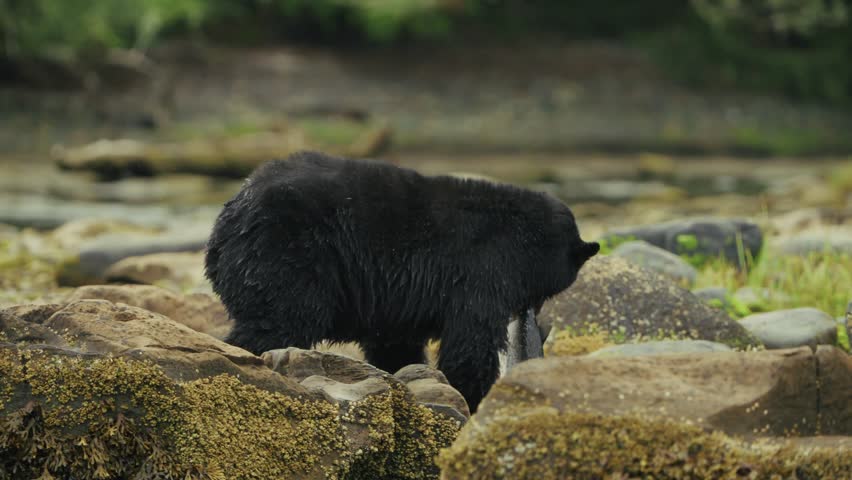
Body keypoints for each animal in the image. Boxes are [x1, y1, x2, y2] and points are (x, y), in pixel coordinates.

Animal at [205, 151, 599, 411]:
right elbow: (470, 343)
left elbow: (395, 343)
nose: (535, 320)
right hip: (289, 253)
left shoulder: (397, 300)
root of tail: (226, 223)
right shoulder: (482, 273)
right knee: (281, 319)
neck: (521, 239)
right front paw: (472, 397)